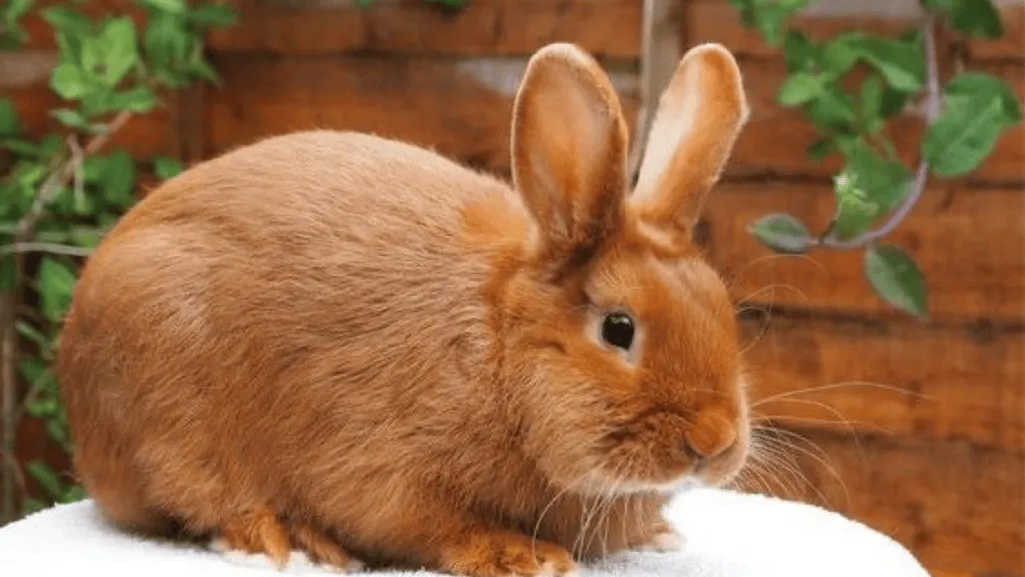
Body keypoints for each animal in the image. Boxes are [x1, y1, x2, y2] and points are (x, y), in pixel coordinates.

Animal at [56, 41, 752, 577]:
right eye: (618, 327)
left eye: (722, 308)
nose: (716, 441)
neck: (498, 352)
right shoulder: (386, 466)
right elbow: (427, 524)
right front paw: (524, 555)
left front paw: (658, 535)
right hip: (165, 404)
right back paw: (289, 540)